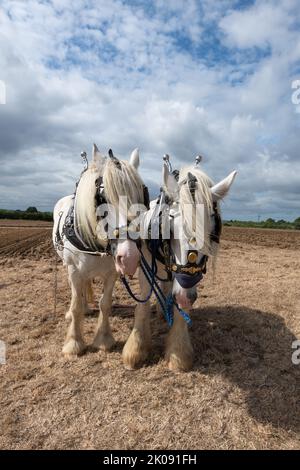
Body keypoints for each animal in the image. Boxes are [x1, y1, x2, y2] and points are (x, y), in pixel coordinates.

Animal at [52, 145, 146, 358]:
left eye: (141, 196)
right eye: (101, 198)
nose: (129, 257)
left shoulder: (112, 272)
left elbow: (105, 304)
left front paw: (103, 340)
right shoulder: (74, 270)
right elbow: (75, 305)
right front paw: (74, 343)